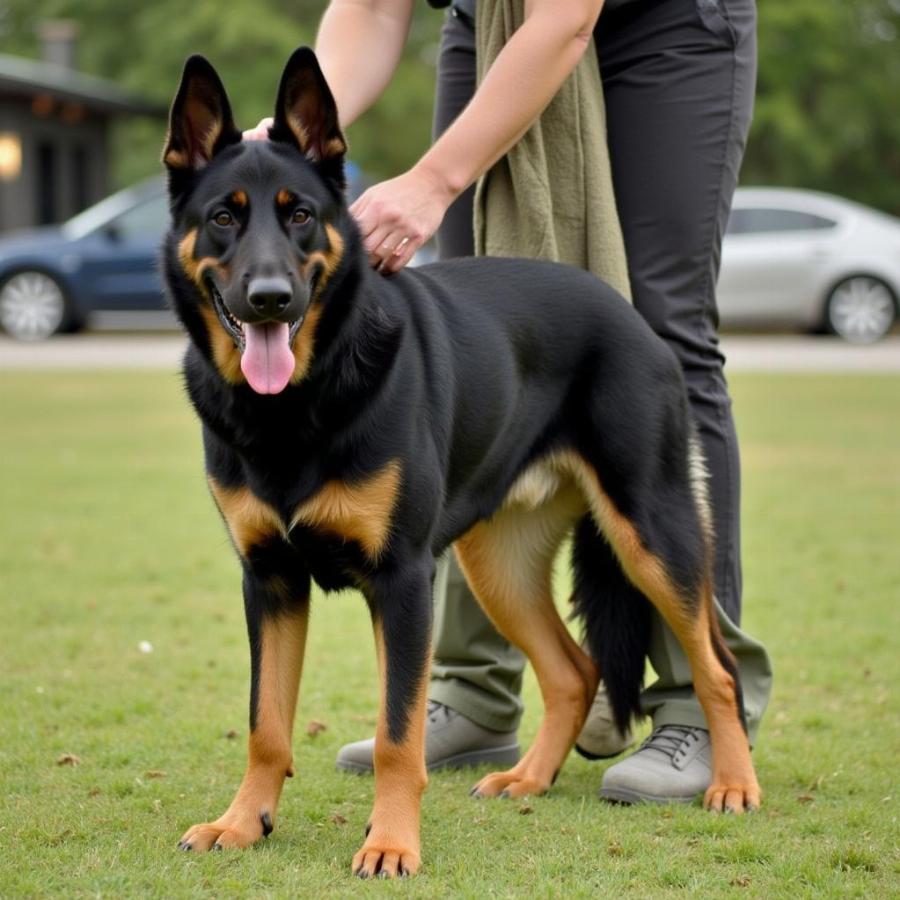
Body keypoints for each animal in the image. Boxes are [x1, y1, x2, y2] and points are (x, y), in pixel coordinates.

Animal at [162, 49, 760, 880]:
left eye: (300, 214)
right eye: (223, 217)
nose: (270, 298)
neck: (301, 399)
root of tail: (629, 316)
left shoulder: (403, 580)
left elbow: (397, 733)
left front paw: (389, 843)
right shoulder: (271, 581)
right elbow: (267, 724)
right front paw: (243, 823)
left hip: (652, 532)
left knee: (717, 668)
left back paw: (731, 782)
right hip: (496, 561)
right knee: (573, 672)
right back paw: (528, 778)